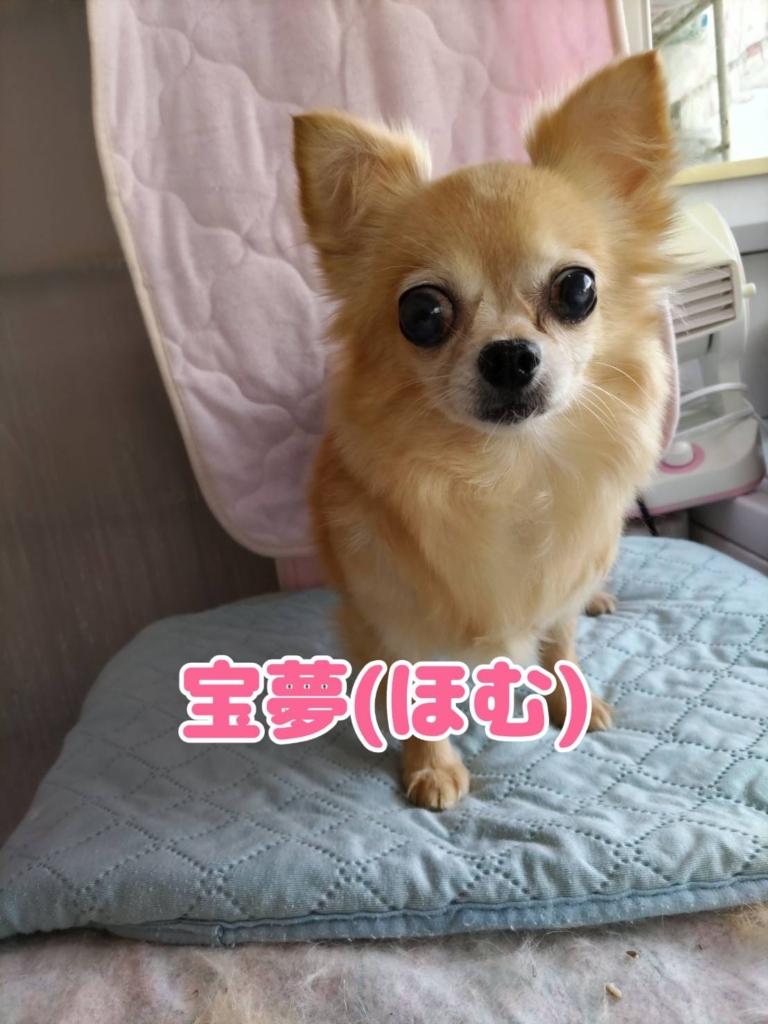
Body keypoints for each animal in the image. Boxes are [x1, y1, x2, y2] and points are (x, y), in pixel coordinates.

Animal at [293, 51, 677, 810]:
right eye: (423, 313)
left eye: (577, 289)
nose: (507, 354)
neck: (508, 469)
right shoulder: (389, 612)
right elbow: (407, 681)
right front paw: (431, 764)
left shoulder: (560, 583)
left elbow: (560, 641)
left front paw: (568, 697)